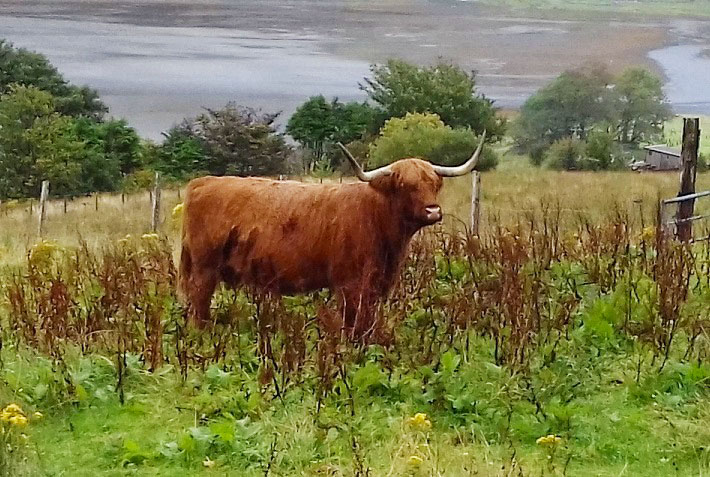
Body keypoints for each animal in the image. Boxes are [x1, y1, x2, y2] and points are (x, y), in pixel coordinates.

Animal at [179, 131, 486, 338]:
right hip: (204, 269)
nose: (433, 211)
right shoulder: (351, 284)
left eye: (434, 184)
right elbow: (353, 323)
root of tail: (202, 182)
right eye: (406, 185)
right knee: (198, 305)